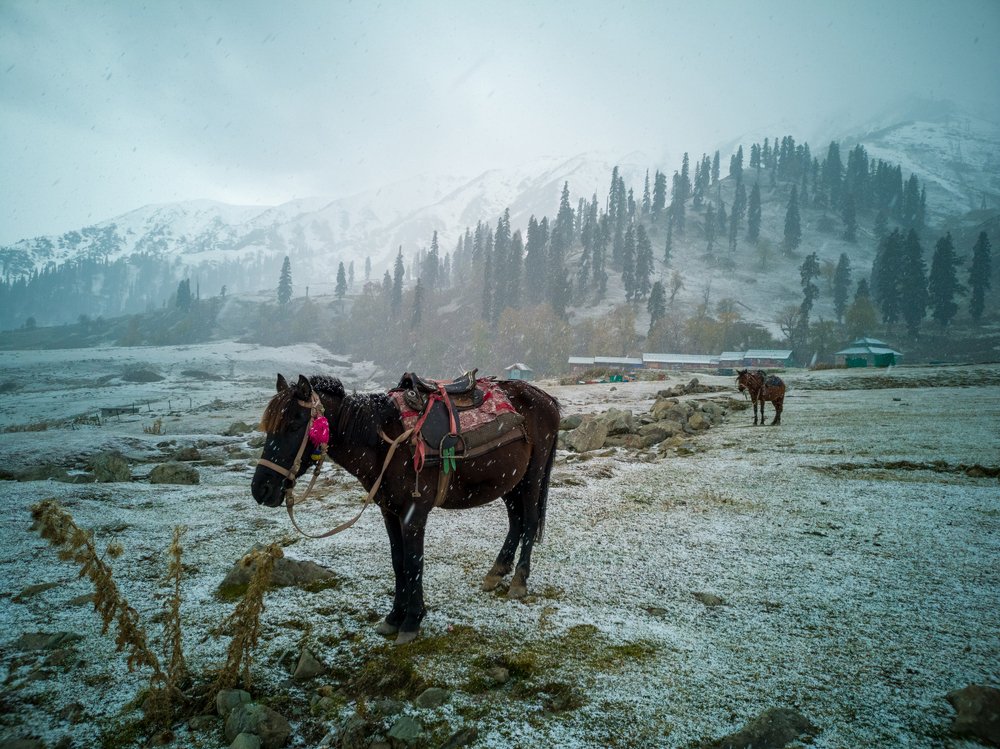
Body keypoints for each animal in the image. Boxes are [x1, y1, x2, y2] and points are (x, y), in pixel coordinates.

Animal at [250, 373, 560, 644]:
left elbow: (413, 563)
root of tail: (545, 398)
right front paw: (394, 617)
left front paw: (412, 621)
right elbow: (398, 561)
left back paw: (518, 581)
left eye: (294, 425)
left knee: (529, 522)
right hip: (510, 482)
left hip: (531, 478)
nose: (260, 489)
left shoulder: (415, 513)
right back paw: (496, 572)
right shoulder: (389, 511)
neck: (385, 440)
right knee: (516, 522)